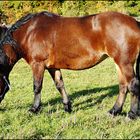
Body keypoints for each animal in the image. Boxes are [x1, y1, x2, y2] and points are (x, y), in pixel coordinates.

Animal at [0, 11, 140, 120]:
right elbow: (60, 85)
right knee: (123, 86)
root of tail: (135, 23)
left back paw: (131, 114)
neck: (29, 32)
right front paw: (67, 107)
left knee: (132, 84)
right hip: (118, 63)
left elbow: (37, 87)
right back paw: (114, 111)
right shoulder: (52, 67)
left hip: (124, 63)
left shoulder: (38, 64)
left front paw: (34, 109)